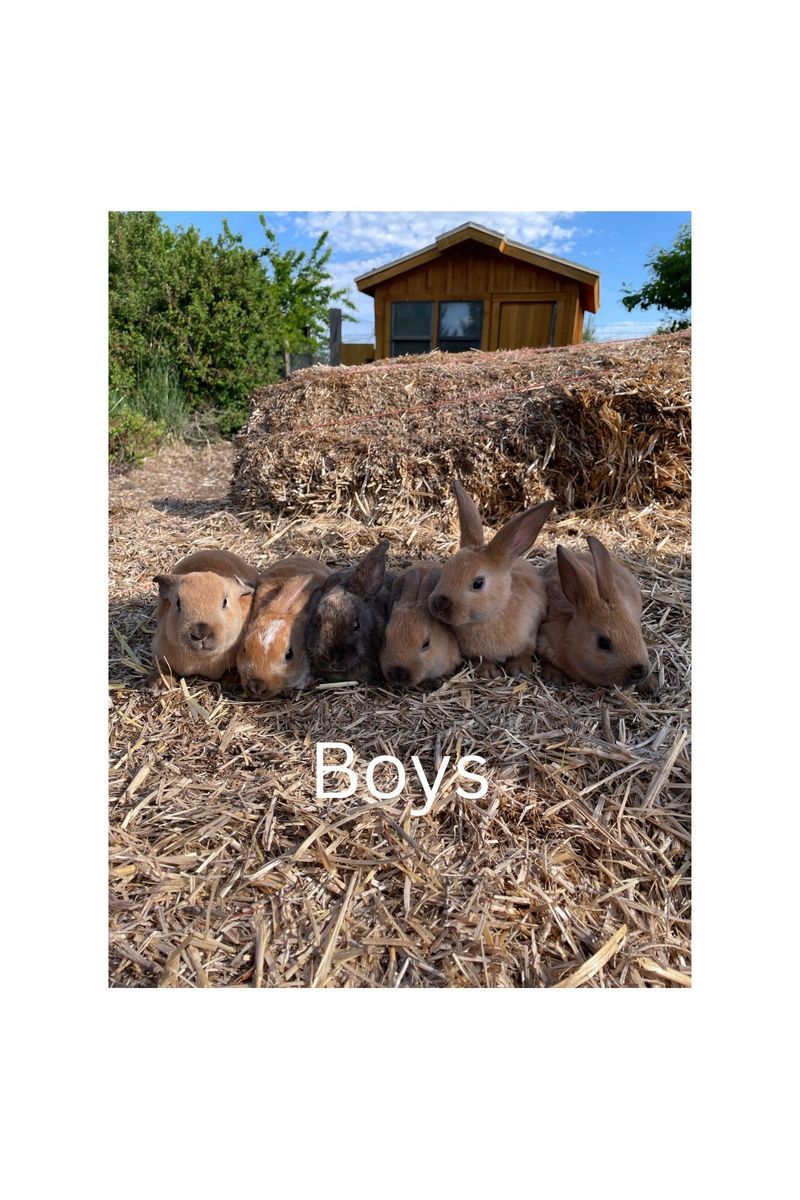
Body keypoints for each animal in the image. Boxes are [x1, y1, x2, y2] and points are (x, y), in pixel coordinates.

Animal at [149, 549, 258, 689]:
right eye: (178, 603)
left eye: (225, 602)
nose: (200, 632)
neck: (201, 659)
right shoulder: (159, 652)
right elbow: (163, 668)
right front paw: (157, 685)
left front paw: (230, 684)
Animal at [428, 481, 555, 678]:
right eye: (446, 569)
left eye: (478, 583)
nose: (440, 604)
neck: (492, 617)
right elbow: (483, 660)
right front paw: (487, 672)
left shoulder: (529, 639)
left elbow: (522, 655)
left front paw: (519, 670)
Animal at [536, 535, 654, 692]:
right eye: (603, 643)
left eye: (637, 632)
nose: (639, 672)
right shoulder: (545, 641)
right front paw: (555, 677)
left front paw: (651, 685)